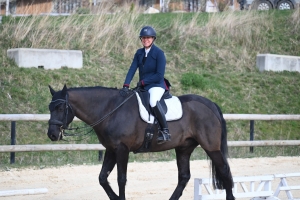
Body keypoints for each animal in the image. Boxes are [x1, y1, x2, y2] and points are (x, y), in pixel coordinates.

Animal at [47, 85, 236, 200]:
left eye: (60, 108)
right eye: (50, 108)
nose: (52, 134)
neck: (110, 110)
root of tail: (210, 104)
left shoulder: (122, 149)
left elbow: (121, 179)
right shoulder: (111, 149)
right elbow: (102, 178)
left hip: (211, 147)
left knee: (225, 172)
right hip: (184, 148)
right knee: (184, 177)